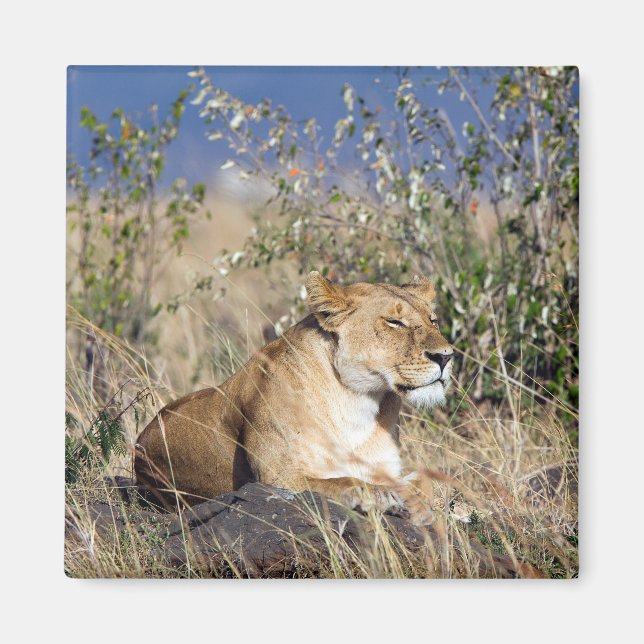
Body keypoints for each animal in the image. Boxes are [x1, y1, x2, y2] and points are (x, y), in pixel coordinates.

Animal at [134, 271, 454, 521]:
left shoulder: (386, 468)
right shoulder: (277, 480)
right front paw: (380, 496)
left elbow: (425, 481)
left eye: (433, 320)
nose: (446, 357)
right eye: (394, 322)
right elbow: (342, 482)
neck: (358, 401)